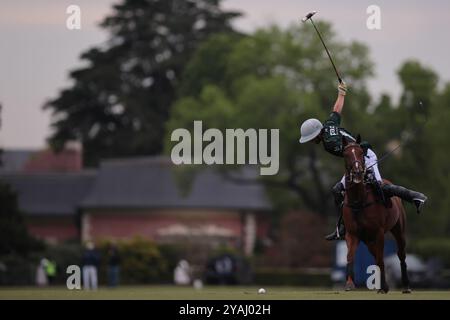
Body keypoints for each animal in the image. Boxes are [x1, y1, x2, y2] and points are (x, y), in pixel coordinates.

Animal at [342, 135, 412, 292]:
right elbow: (350, 256)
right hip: (367, 239)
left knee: (401, 254)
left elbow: (381, 258)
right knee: (375, 255)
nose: (357, 173)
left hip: (399, 229)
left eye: (361, 153)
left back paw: (405, 285)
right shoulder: (352, 233)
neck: (358, 201)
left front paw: (384, 287)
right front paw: (349, 284)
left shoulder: (378, 232)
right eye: (346, 154)